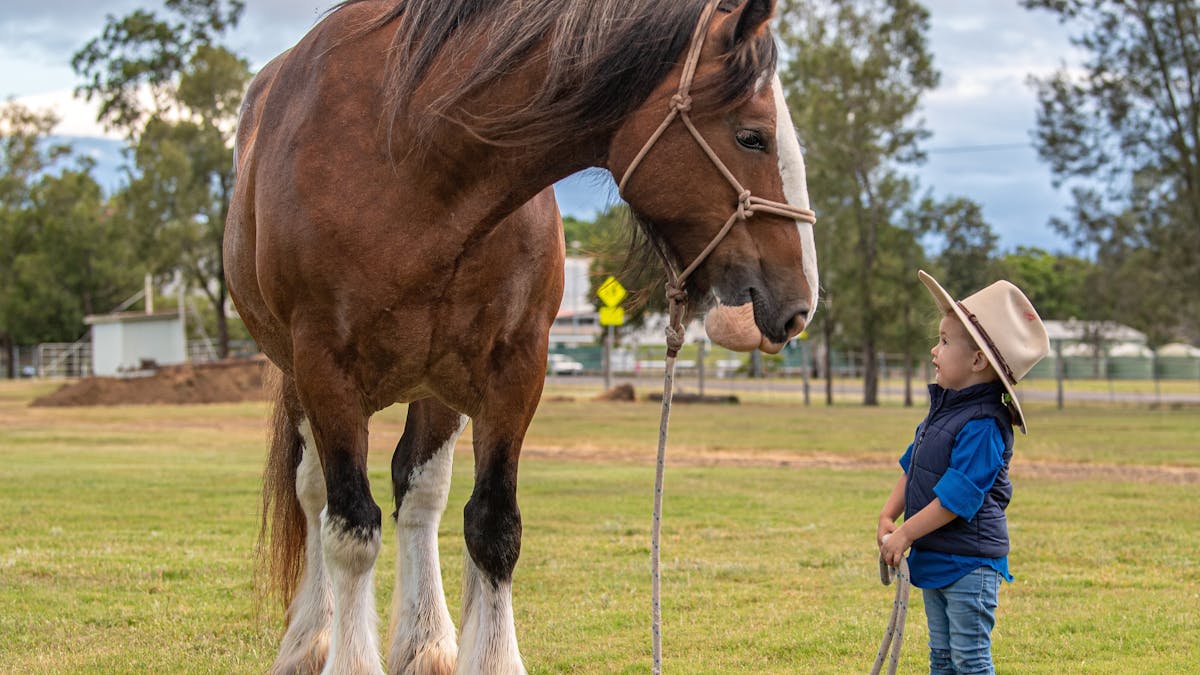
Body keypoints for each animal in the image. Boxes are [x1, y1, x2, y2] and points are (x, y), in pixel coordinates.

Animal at [223, 0, 818, 672]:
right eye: (752, 135)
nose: (801, 303)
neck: (409, 166)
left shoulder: (515, 372)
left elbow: (493, 528)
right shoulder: (325, 369)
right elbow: (350, 530)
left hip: (435, 387)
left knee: (418, 496)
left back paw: (426, 640)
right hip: (300, 379)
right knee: (314, 494)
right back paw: (310, 640)